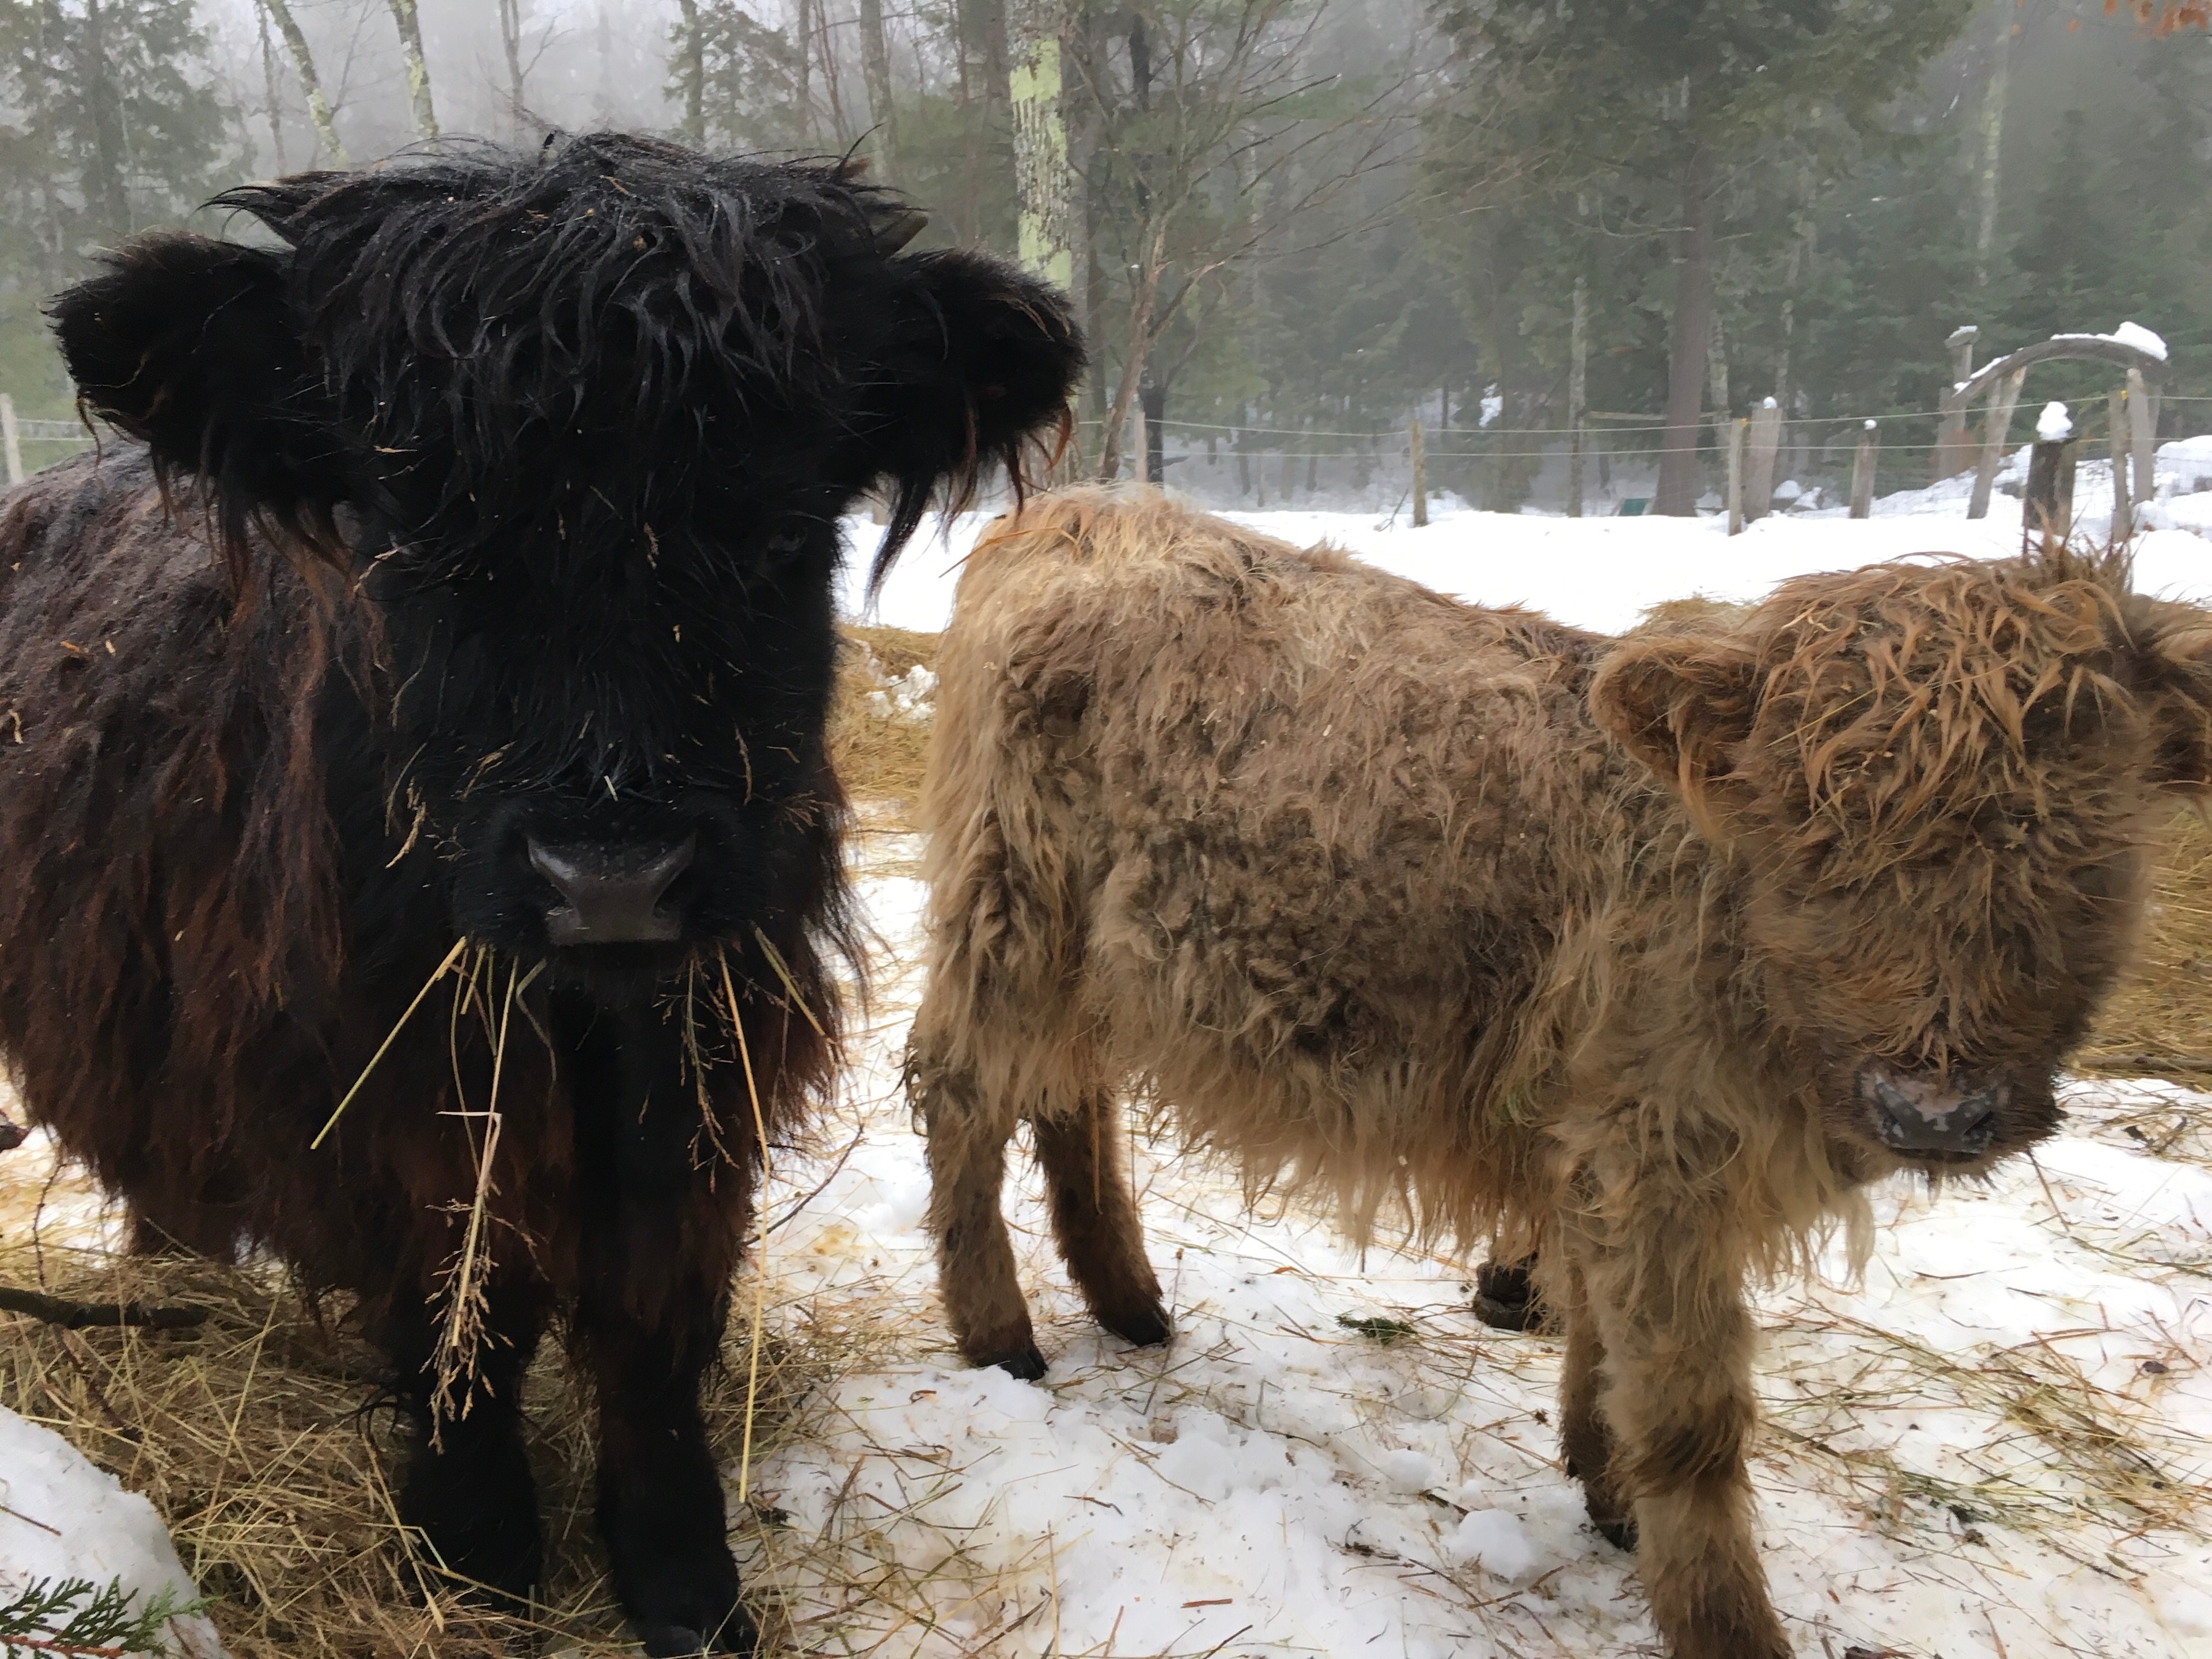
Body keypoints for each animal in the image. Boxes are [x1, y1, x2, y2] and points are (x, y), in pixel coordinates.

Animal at [0, 133, 1081, 1655]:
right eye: (405, 528)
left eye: (784, 524)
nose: (611, 877)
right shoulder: (393, 1101)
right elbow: (469, 1316)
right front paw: (479, 1559)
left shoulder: (703, 1078)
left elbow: (650, 1329)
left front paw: (683, 1584)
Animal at [906, 487, 2212, 1659]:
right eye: (1812, 840)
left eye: (2082, 850)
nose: (1934, 1109)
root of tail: (1076, 508)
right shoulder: (1660, 1161)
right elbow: (1692, 1417)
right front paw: (1725, 1621)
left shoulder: (1605, 1148)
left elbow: (1603, 1339)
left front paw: (1603, 1482)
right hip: (1010, 916)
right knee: (962, 1091)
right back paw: (1001, 1336)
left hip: (1089, 962)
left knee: (1069, 1098)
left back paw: (1129, 1305)